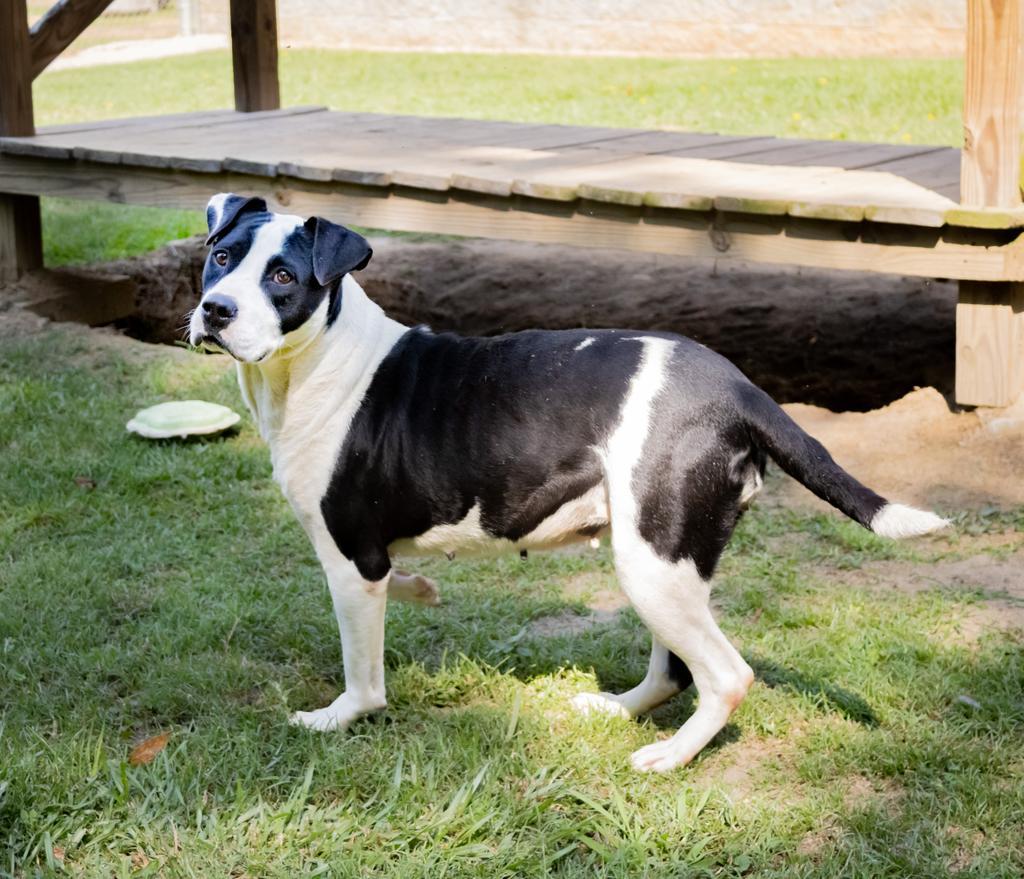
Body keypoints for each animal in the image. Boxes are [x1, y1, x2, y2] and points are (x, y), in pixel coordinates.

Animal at [190, 195, 942, 770]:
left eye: (283, 276)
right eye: (222, 257)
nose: (215, 311)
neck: (318, 361)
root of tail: (740, 389)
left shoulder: (350, 558)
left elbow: (364, 678)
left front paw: (338, 715)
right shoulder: (369, 559)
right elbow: (400, 581)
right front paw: (422, 587)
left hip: (652, 562)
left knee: (726, 675)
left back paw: (669, 756)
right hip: (665, 560)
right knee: (675, 668)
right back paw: (617, 707)